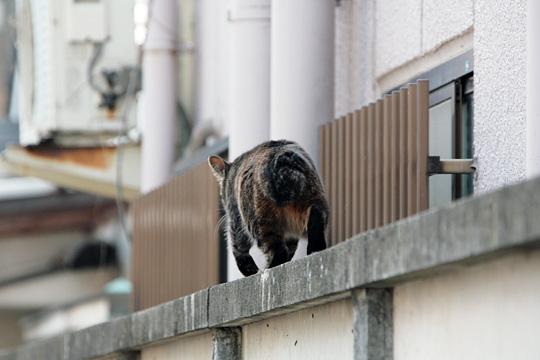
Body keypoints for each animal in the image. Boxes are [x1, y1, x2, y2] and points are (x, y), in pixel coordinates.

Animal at [208, 139, 330, 278]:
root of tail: (282, 158)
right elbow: (291, 248)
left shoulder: (236, 217)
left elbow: (238, 247)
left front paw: (249, 270)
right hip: (315, 200)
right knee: (316, 224)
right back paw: (314, 250)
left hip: (258, 220)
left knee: (278, 251)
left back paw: (267, 269)